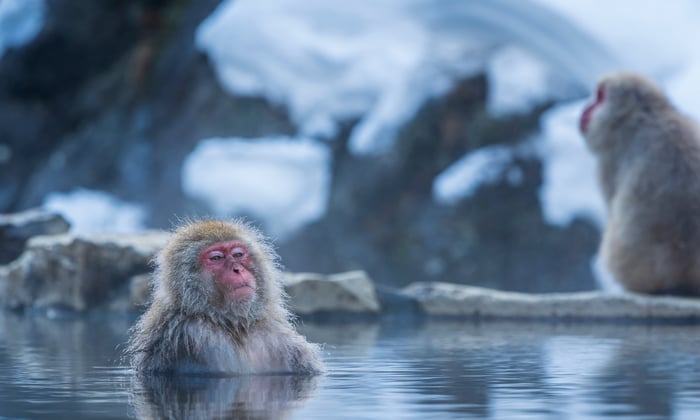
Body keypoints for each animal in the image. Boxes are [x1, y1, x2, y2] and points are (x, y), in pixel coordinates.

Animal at [126, 219, 324, 375]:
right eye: (216, 258)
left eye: (238, 254)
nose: (237, 269)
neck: (234, 325)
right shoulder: (195, 335)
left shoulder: (284, 340)